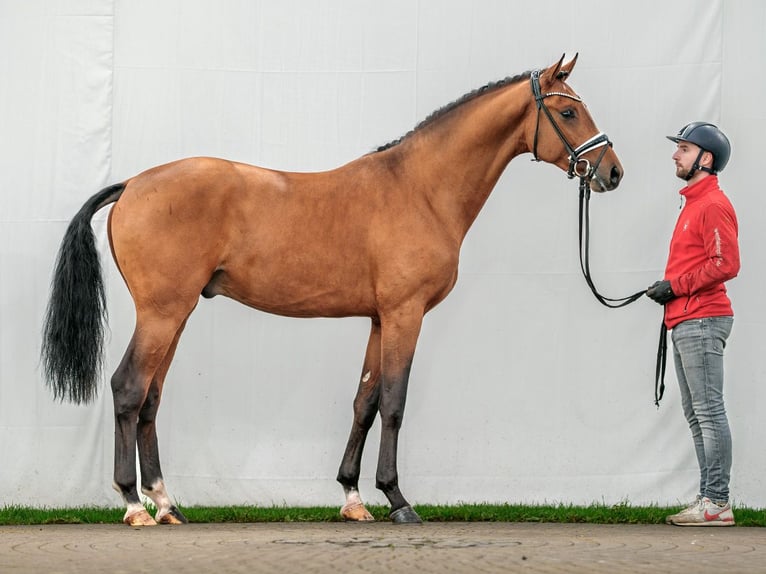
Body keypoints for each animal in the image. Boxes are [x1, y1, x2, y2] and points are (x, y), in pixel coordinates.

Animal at [40, 54, 624, 528]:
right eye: (568, 113)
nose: (613, 172)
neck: (420, 188)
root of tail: (132, 184)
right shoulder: (406, 314)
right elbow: (394, 401)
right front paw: (397, 499)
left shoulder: (380, 318)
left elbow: (365, 400)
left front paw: (352, 497)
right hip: (161, 313)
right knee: (128, 388)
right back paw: (133, 505)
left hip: (174, 316)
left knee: (151, 398)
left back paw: (166, 503)